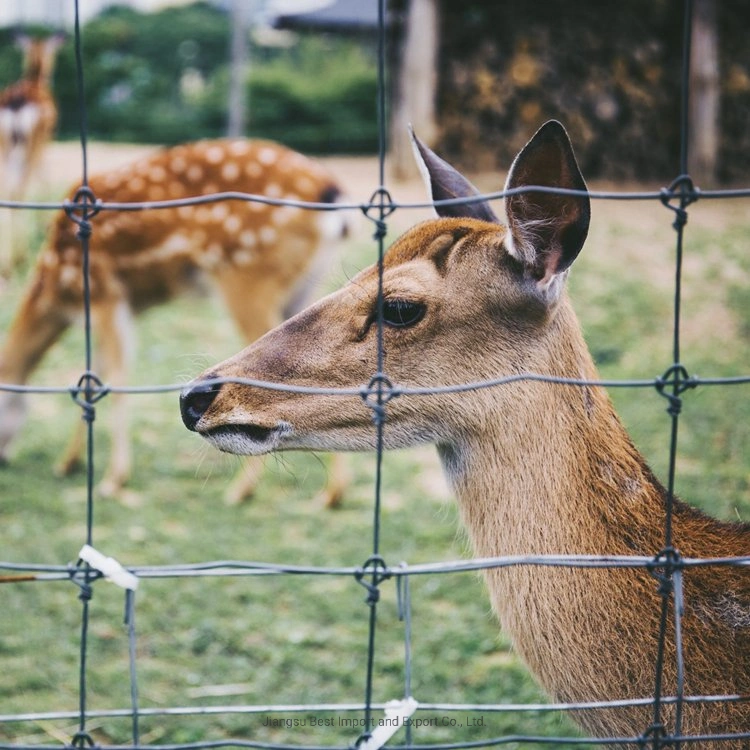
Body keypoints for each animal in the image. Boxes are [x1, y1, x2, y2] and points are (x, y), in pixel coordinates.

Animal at [0, 138, 352, 508]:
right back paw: (330, 494)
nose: (3, 459)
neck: (57, 286)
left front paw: (113, 480)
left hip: (248, 274)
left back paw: (241, 490)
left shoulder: (105, 292)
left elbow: (116, 376)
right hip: (305, 285)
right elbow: (93, 376)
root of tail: (332, 194)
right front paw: (68, 463)